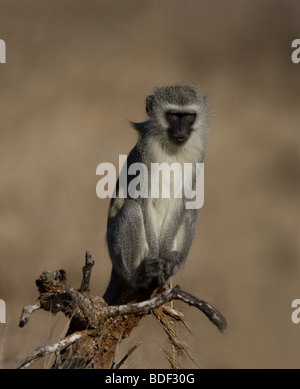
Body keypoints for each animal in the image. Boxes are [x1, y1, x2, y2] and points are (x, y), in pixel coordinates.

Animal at [103, 85, 209, 306]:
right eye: (173, 116)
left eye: (188, 116)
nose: (181, 131)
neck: (172, 147)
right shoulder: (147, 151)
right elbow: (141, 200)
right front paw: (155, 260)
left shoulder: (198, 152)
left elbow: (182, 199)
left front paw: (167, 257)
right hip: (117, 254)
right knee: (132, 209)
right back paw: (139, 277)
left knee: (190, 209)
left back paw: (172, 265)